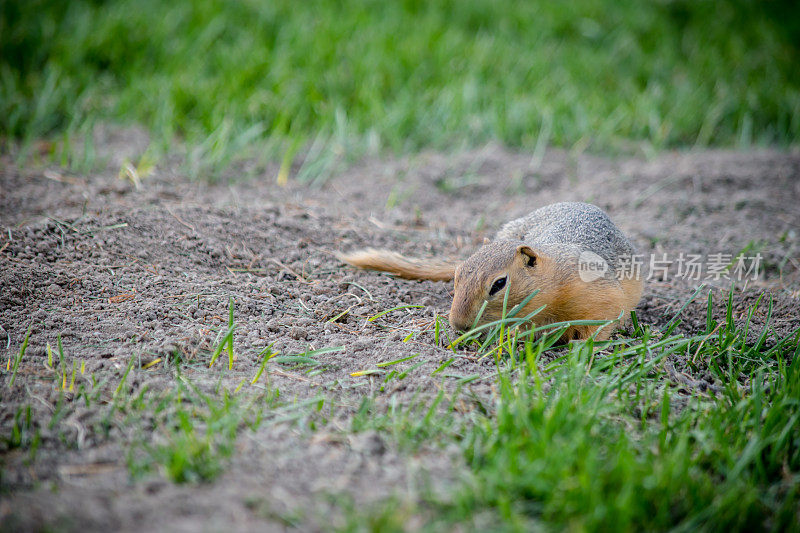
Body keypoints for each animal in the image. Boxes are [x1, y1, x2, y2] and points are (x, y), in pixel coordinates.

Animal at [338, 202, 644, 338]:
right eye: (457, 275)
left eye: (499, 284)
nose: (459, 325)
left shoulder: (599, 298)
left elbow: (597, 327)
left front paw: (579, 353)